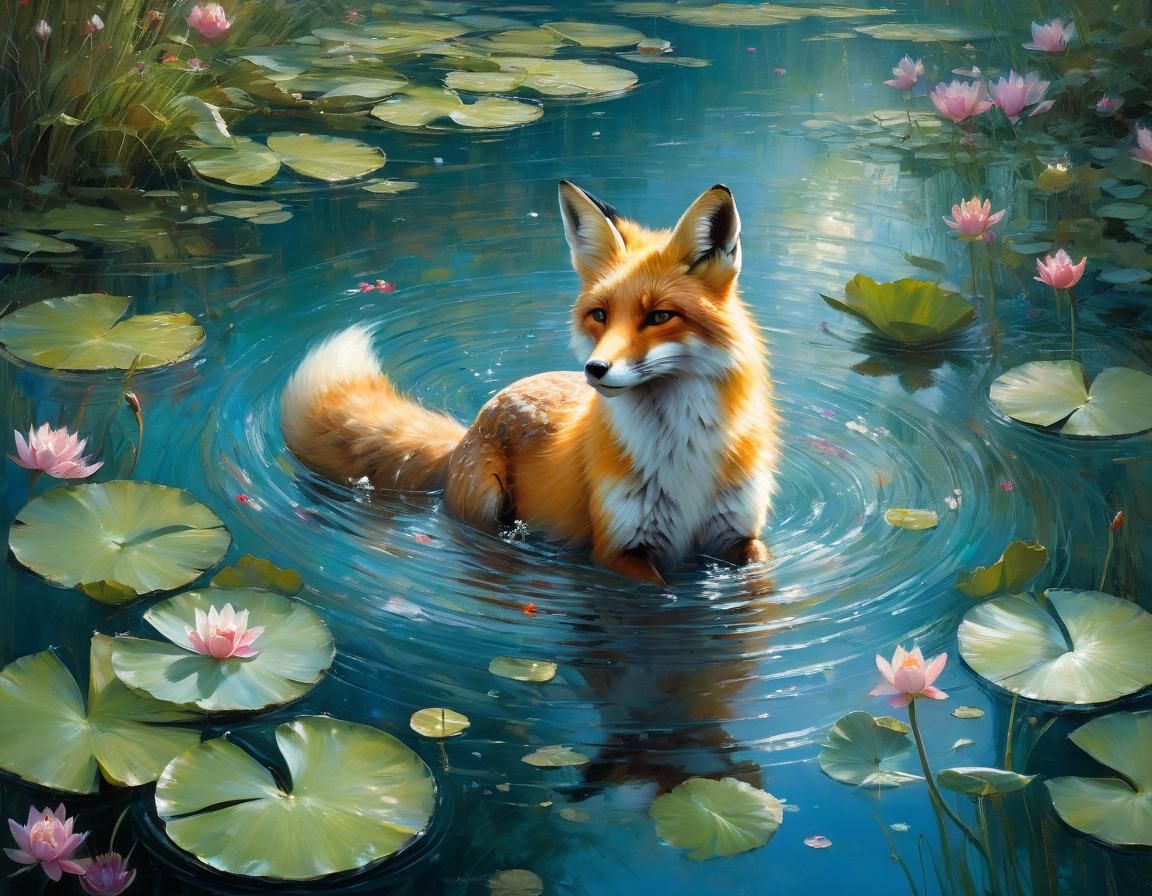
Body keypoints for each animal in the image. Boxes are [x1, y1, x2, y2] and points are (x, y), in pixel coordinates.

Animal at [280, 181, 780, 583]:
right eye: (600, 315)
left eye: (659, 317)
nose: (595, 369)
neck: (683, 456)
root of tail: (469, 429)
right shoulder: (618, 550)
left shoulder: (740, 538)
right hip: (485, 505)